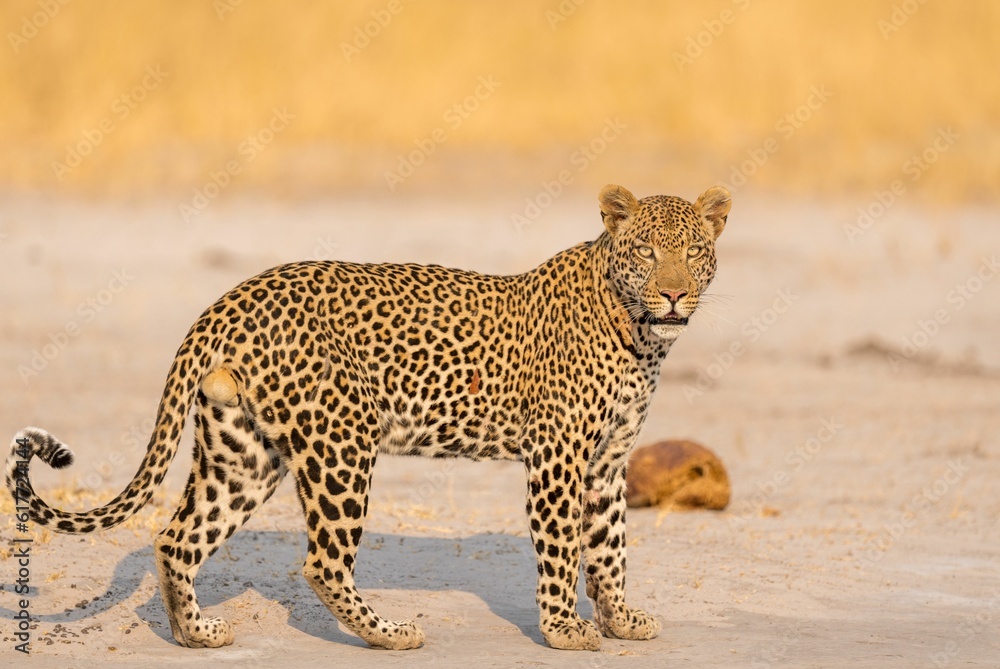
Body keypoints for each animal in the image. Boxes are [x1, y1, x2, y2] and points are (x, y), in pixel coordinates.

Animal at [6, 183, 731, 651]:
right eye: (646, 252)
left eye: (694, 251)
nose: (674, 293)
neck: (639, 334)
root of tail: (227, 300)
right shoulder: (558, 455)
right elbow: (561, 547)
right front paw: (565, 630)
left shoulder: (608, 461)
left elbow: (610, 545)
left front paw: (621, 618)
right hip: (342, 442)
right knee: (323, 561)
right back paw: (390, 634)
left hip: (243, 452)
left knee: (177, 535)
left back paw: (196, 633)